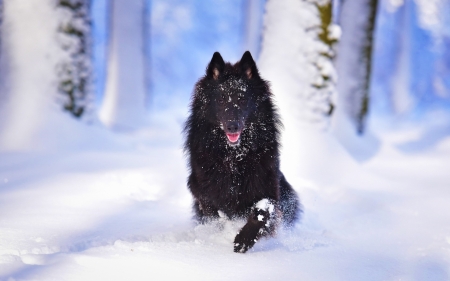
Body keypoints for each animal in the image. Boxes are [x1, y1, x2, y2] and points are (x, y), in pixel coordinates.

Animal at [185, 51, 300, 253]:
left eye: (242, 99)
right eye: (221, 99)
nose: (232, 126)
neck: (234, 156)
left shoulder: (267, 187)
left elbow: (261, 212)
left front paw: (244, 239)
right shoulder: (201, 188)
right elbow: (214, 212)